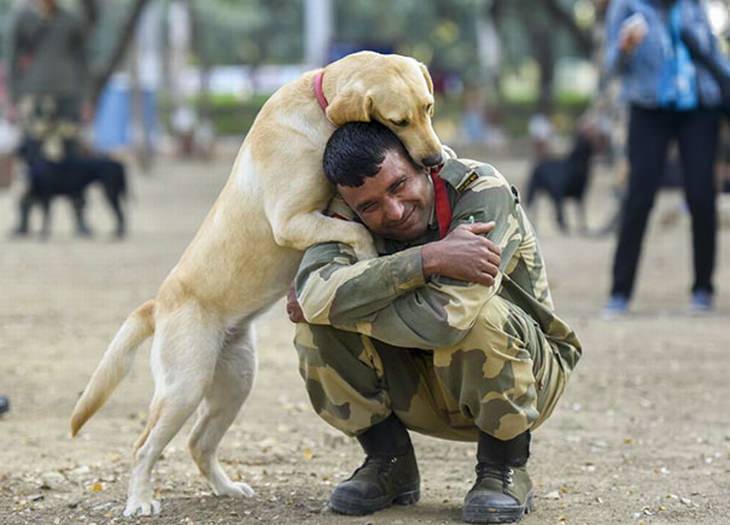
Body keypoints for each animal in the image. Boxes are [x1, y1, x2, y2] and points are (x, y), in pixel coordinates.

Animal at [71, 50, 440, 516]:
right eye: (398, 121)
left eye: (428, 108)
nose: (434, 161)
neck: (317, 107)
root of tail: (159, 304)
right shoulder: (291, 221)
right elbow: (356, 232)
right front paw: (371, 258)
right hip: (183, 388)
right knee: (143, 447)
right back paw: (140, 500)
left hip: (235, 383)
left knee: (198, 444)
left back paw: (226, 488)